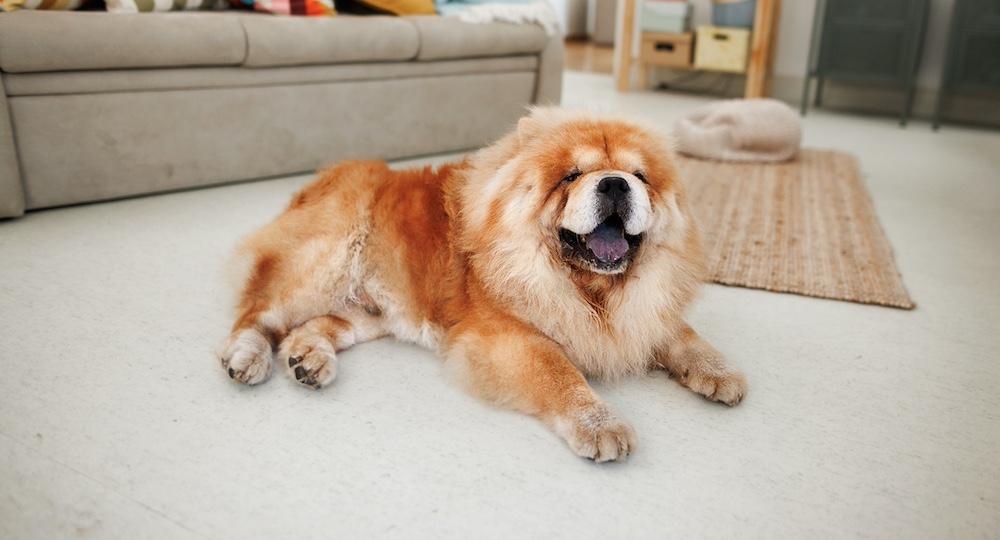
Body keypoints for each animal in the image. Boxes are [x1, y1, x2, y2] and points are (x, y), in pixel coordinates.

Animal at [223, 107, 748, 462]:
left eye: (640, 176)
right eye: (571, 176)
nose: (616, 183)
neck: (592, 292)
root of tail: (321, 180)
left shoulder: (645, 311)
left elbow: (682, 335)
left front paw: (720, 372)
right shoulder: (506, 335)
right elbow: (561, 373)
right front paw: (601, 425)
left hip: (376, 310)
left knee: (312, 326)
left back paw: (308, 359)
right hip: (322, 262)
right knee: (258, 311)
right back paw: (247, 357)